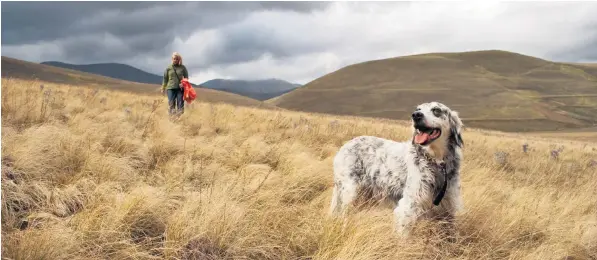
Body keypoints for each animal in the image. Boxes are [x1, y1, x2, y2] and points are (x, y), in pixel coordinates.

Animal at [328, 102, 464, 238]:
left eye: (436, 110)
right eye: (418, 109)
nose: (416, 115)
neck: (437, 162)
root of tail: (344, 146)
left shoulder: (447, 208)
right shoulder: (408, 207)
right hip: (351, 193)